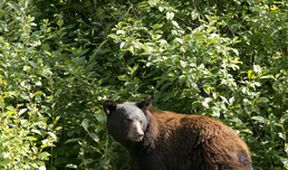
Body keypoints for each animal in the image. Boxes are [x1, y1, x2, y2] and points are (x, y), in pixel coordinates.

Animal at [103, 96, 252, 169]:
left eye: (140, 120)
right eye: (127, 120)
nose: (139, 134)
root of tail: (242, 145)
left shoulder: (159, 153)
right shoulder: (140, 157)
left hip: (215, 156)